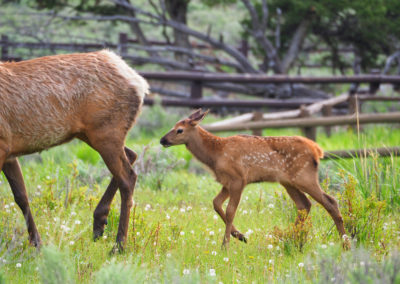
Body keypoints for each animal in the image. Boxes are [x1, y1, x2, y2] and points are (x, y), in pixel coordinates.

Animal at [0, 50, 148, 251]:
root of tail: (139, 82)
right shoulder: (9, 152)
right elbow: (21, 196)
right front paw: (37, 244)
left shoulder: (2, 145)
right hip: (90, 134)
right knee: (132, 154)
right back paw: (99, 223)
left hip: (105, 133)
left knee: (128, 177)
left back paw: (118, 246)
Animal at [161, 110, 348, 248]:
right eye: (173, 126)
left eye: (179, 130)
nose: (162, 139)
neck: (215, 155)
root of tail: (317, 150)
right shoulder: (226, 182)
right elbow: (216, 203)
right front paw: (240, 236)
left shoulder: (239, 179)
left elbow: (230, 211)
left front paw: (225, 244)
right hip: (288, 182)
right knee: (304, 205)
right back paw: (294, 240)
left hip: (304, 176)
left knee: (330, 201)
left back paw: (344, 242)